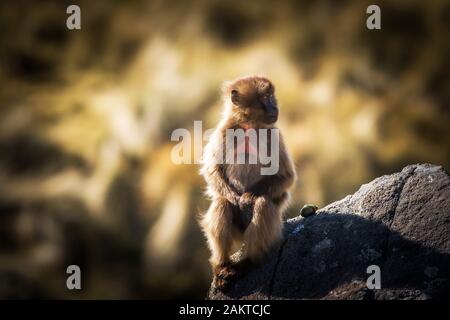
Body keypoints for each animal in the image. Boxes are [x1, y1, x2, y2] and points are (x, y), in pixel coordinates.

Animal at [200, 75, 296, 290]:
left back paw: (248, 261)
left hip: (273, 230)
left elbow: (286, 177)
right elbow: (212, 170)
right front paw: (235, 198)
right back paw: (223, 266)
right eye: (266, 97)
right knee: (222, 203)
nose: (275, 107)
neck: (249, 127)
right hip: (237, 231)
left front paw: (247, 197)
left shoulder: (273, 134)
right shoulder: (224, 131)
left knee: (263, 204)